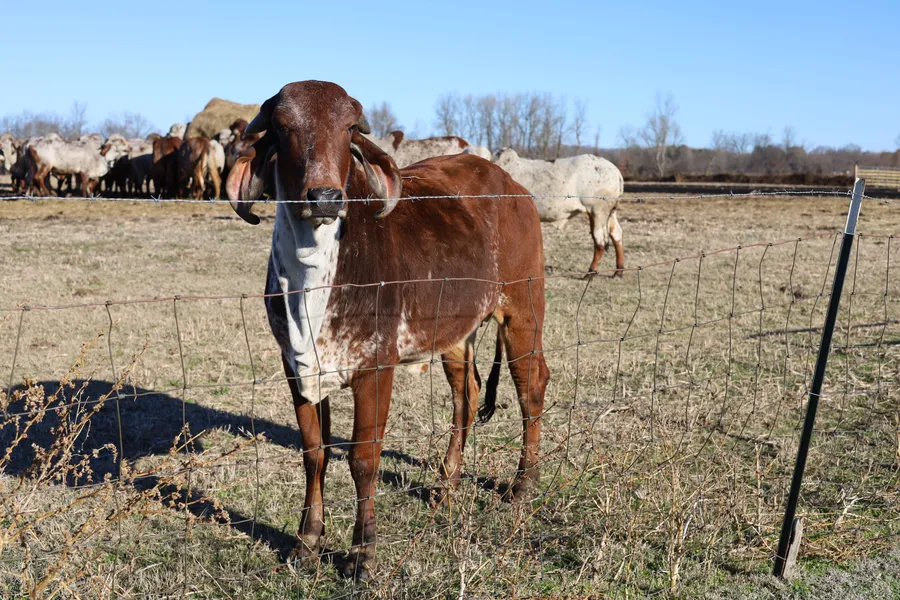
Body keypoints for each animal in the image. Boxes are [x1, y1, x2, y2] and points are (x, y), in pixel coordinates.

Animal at [226, 80, 550, 581]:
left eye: (350, 128)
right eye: (282, 127)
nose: (324, 197)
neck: (312, 280)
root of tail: (513, 187)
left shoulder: (376, 369)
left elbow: (364, 459)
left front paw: (362, 553)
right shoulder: (296, 366)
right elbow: (314, 453)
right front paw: (307, 541)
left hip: (523, 312)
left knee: (531, 388)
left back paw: (522, 485)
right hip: (455, 335)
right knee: (467, 396)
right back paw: (447, 483)